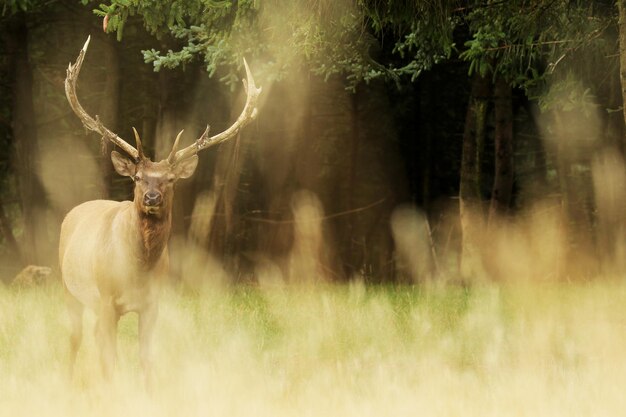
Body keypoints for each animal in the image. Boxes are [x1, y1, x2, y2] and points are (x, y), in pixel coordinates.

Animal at [58, 35, 260, 384]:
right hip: (68, 286)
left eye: (170, 180)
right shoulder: (107, 299)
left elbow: (146, 359)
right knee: (76, 338)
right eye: (137, 177)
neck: (137, 268)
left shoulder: (153, 304)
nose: (152, 197)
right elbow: (109, 359)